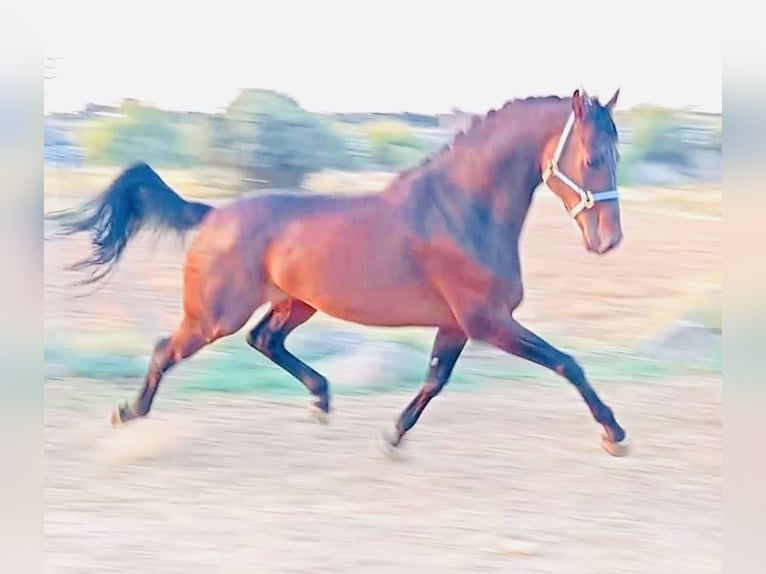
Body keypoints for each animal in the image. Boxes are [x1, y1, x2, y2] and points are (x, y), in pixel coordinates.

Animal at [48, 87, 630, 457]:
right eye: (593, 158)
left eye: (615, 155)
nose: (608, 241)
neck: (463, 211)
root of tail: (213, 215)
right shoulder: (487, 321)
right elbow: (567, 363)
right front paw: (615, 434)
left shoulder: (457, 324)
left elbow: (434, 380)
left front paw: (392, 437)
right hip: (215, 315)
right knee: (166, 349)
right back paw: (129, 414)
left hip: (295, 303)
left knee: (264, 340)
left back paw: (322, 398)